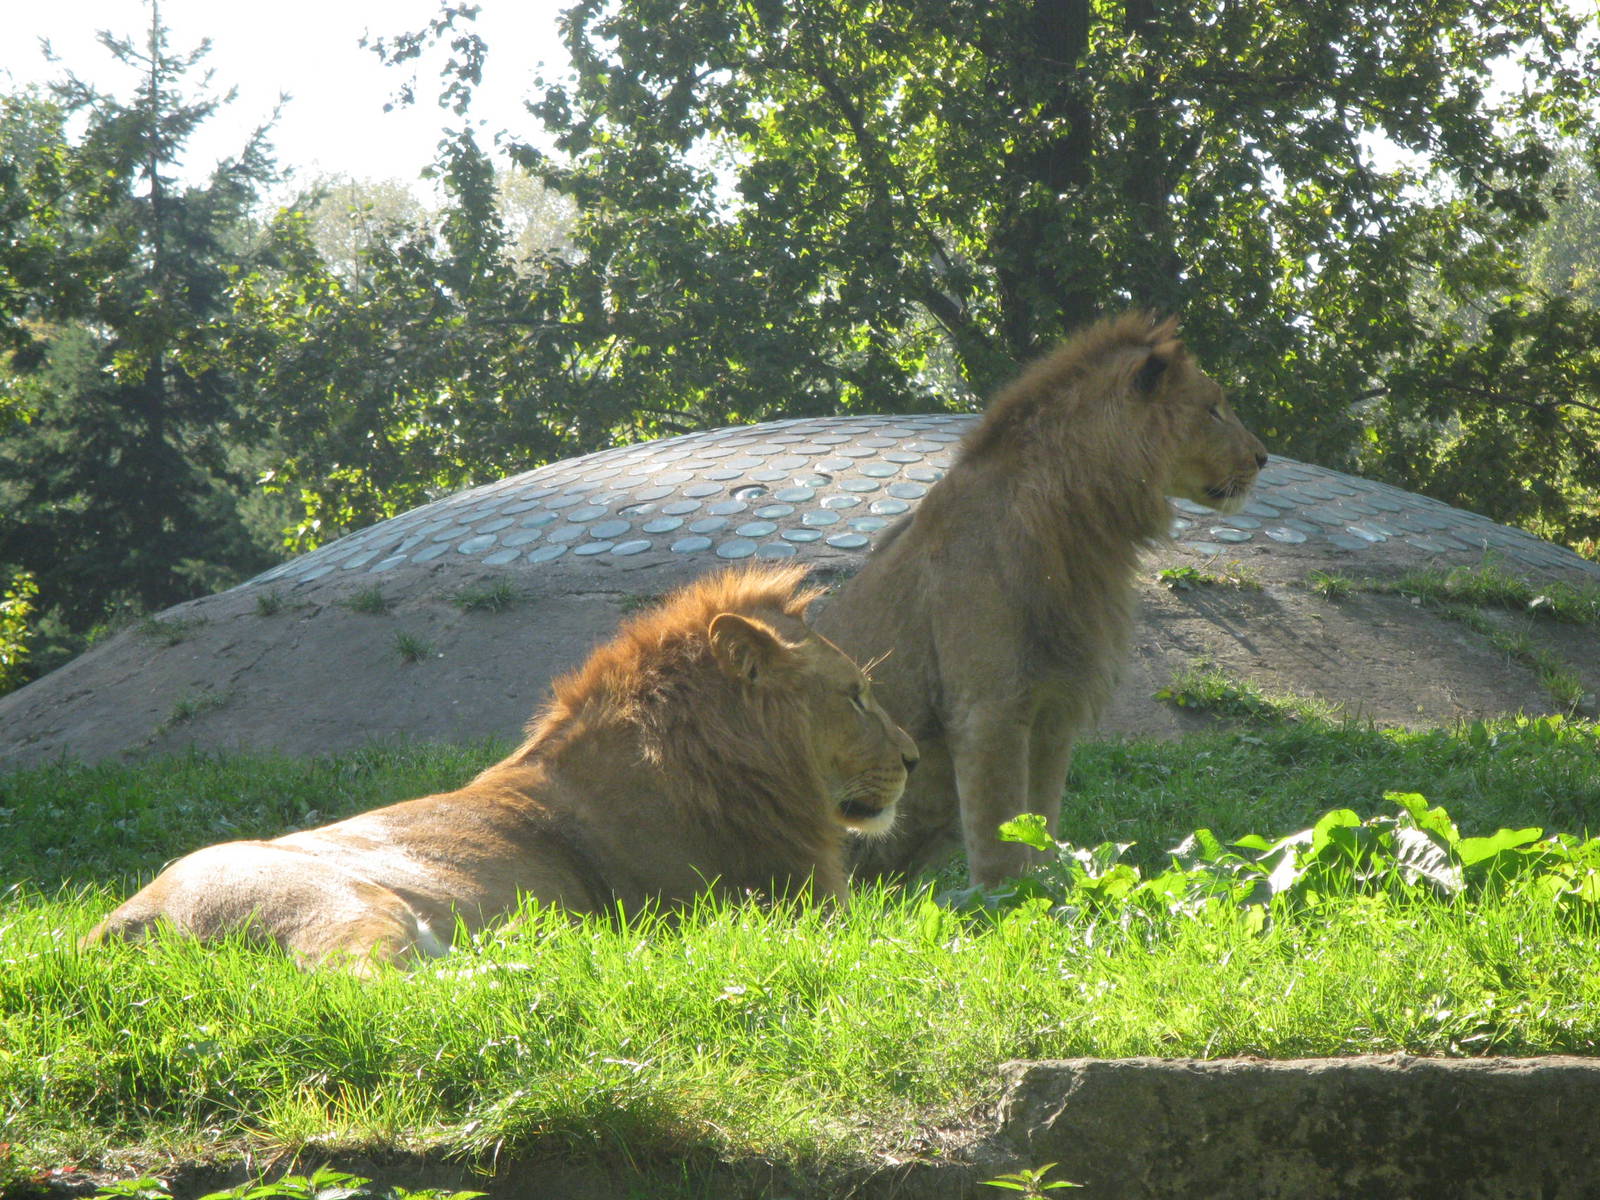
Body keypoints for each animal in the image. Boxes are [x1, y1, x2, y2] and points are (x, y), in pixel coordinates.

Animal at [86, 565, 918, 972]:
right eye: (856, 696)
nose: (913, 758)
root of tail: (126, 918)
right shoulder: (788, 909)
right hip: (339, 904)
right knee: (366, 985)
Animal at [812, 312, 1266, 886]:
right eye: (1212, 408)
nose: (1263, 458)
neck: (1088, 527)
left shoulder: (1055, 708)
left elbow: (1041, 825)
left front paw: (1053, 893)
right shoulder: (988, 710)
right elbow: (999, 841)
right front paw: (1006, 904)